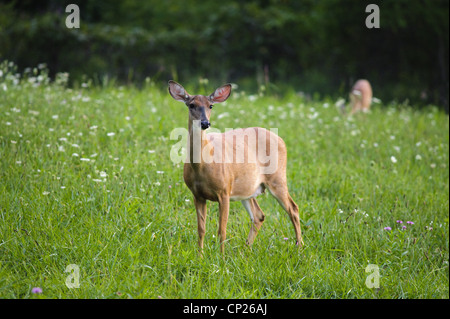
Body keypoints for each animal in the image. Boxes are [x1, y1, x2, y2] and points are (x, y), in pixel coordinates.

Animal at [169, 80, 306, 255]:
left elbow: (222, 229)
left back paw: (299, 247)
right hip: (248, 189)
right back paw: (246, 250)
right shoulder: (197, 194)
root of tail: (281, 140)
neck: (201, 167)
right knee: (259, 215)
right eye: (191, 105)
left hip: (277, 177)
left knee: (293, 208)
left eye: (211, 105)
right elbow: (201, 229)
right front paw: (200, 256)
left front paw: (221, 257)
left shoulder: (224, 191)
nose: (205, 123)